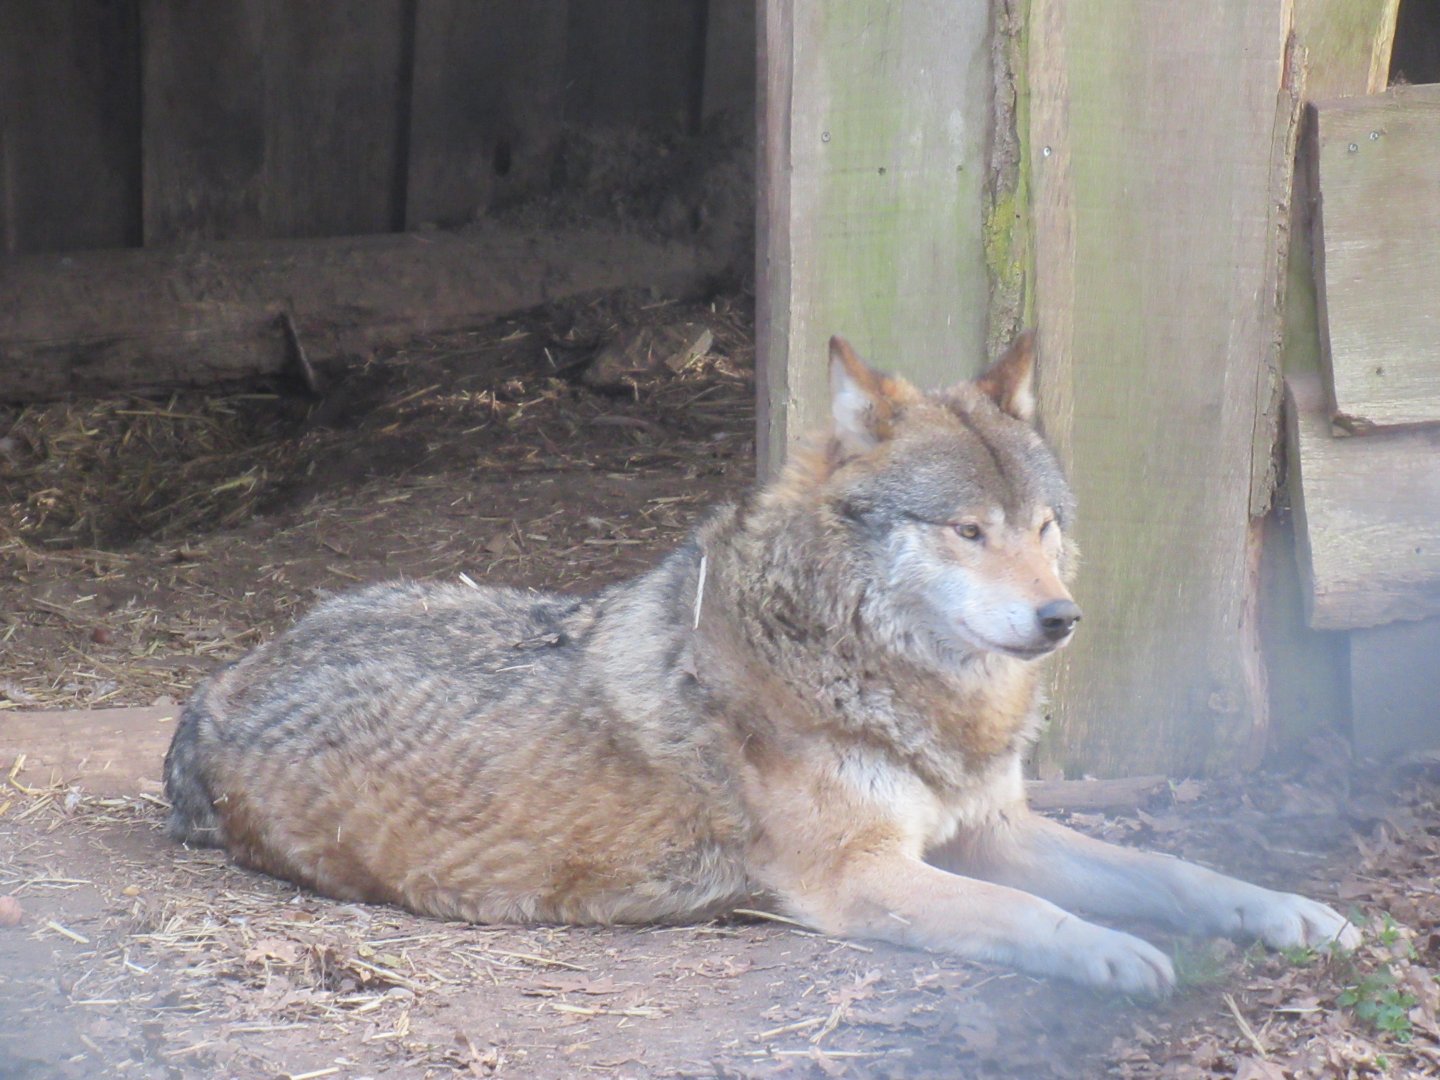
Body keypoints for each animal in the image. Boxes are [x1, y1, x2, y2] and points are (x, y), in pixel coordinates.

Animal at [164, 333, 1359, 995]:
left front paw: (1291, 914)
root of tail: (217, 686)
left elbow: (1175, 871)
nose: (1060, 617)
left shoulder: (990, 829)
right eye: (967, 531)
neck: (883, 681)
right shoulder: (867, 875)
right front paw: (1112, 955)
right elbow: (1034, 918)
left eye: (1043, 526)